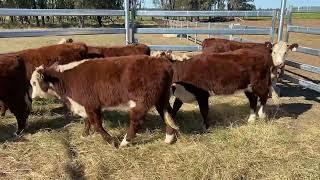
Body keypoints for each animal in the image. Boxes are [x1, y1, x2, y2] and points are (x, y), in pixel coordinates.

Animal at [30, 55, 178, 147]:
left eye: (33, 83)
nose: (32, 97)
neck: (66, 79)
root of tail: (162, 62)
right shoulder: (84, 105)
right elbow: (87, 120)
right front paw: (84, 134)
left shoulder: (91, 104)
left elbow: (96, 123)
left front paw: (111, 141)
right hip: (161, 98)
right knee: (168, 114)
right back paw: (169, 138)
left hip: (141, 102)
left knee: (137, 122)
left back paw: (125, 142)